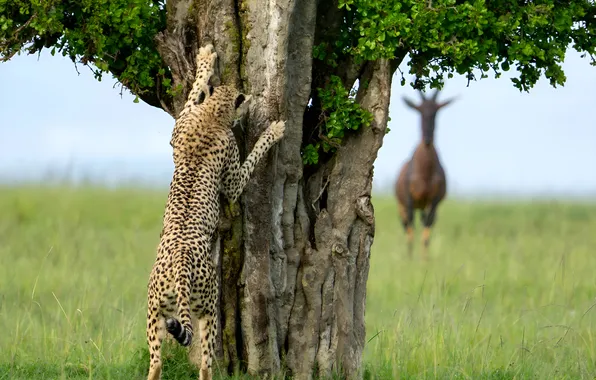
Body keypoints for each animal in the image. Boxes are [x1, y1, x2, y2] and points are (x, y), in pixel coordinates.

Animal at [144, 42, 284, 380]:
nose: (252, 100)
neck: (212, 115)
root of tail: (180, 267)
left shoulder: (179, 127)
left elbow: (194, 91)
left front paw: (205, 61)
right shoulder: (231, 178)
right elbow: (249, 163)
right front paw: (272, 132)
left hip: (155, 313)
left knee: (155, 363)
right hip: (208, 309)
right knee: (206, 364)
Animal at [394, 90, 454, 258]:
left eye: (436, 110)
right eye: (419, 110)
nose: (427, 139)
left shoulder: (434, 201)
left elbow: (427, 231)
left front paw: (424, 260)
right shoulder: (409, 201)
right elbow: (410, 231)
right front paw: (409, 259)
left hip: (424, 206)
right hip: (402, 206)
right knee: (406, 225)